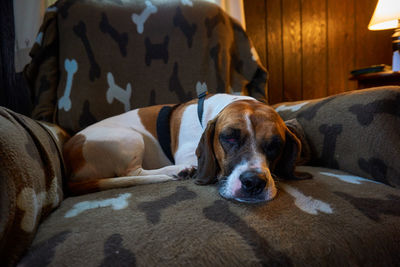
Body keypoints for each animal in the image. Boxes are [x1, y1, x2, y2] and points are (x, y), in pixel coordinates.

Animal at [63, 93, 310, 203]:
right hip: (129, 138)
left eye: (275, 145)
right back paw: (178, 171)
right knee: (131, 173)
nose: (254, 183)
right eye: (228, 137)